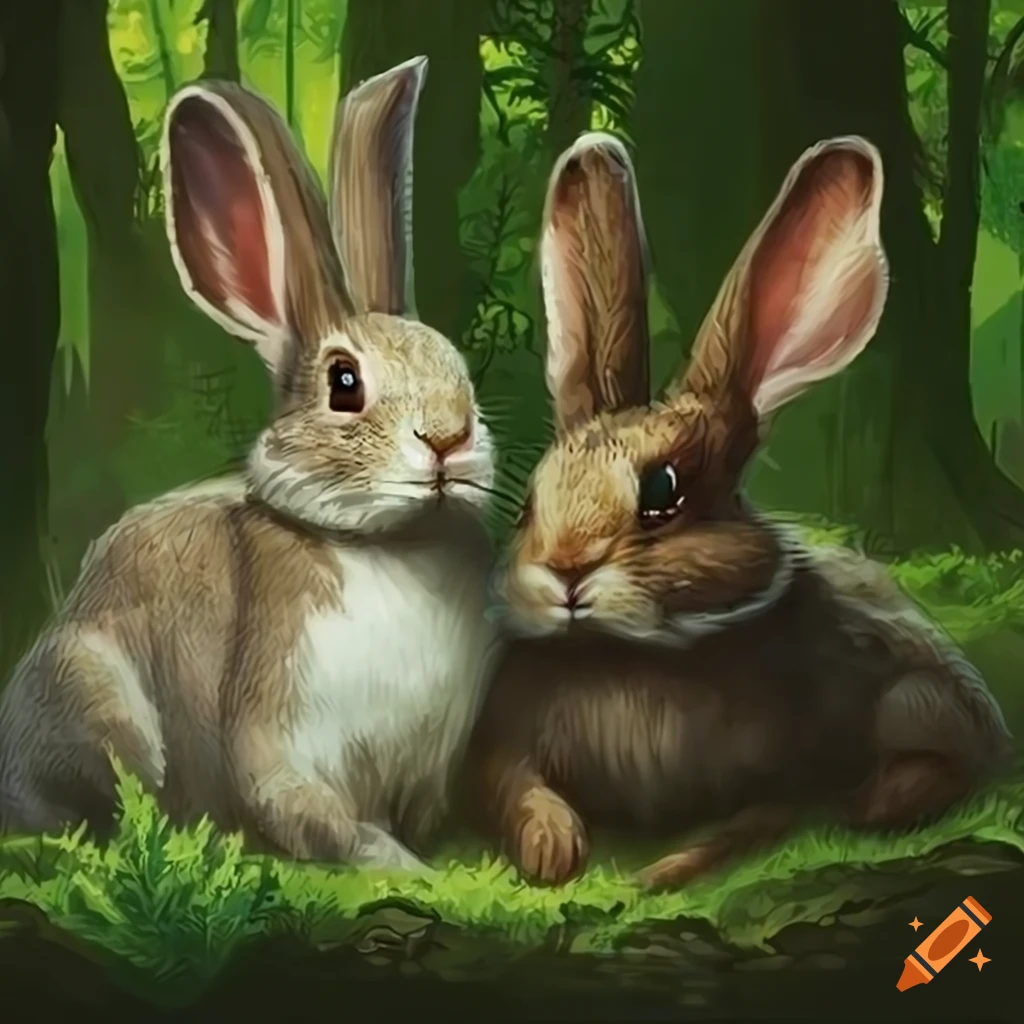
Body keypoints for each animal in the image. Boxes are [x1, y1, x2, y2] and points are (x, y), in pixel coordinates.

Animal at [0, 57, 503, 873]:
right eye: (344, 382)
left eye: (455, 363)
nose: (449, 438)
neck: (388, 544)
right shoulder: (280, 726)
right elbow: (315, 815)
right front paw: (403, 866)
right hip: (98, 697)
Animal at [463, 132, 1014, 891]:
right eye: (528, 504)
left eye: (664, 492)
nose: (566, 572)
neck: (631, 653)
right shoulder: (502, 744)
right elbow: (513, 786)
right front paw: (554, 848)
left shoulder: (793, 770)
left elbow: (751, 824)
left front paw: (658, 873)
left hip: (918, 698)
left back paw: (883, 798)